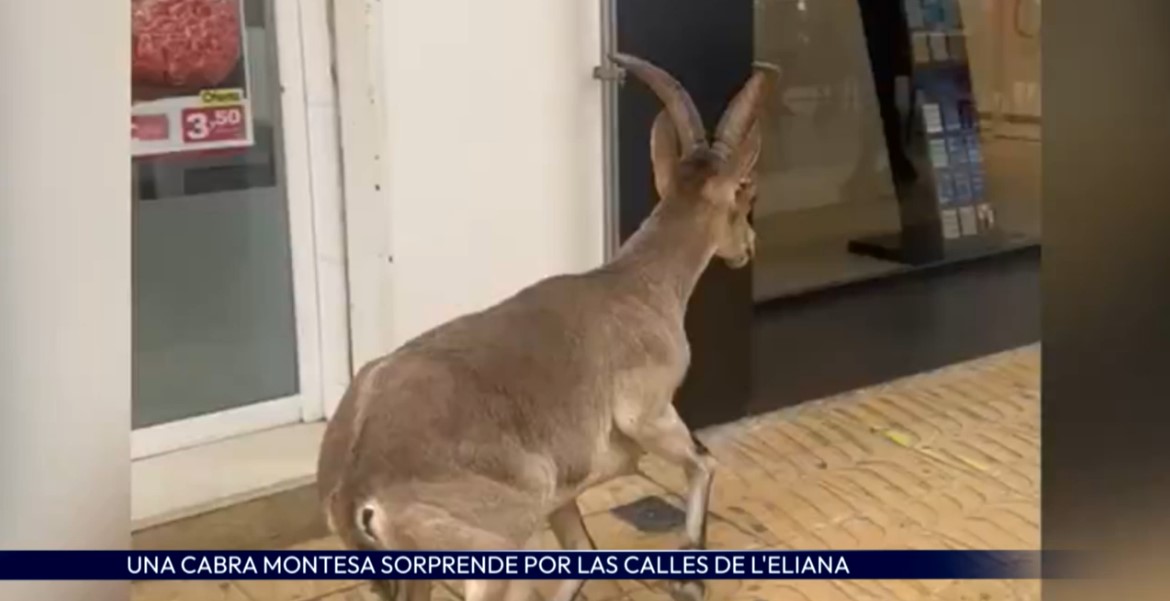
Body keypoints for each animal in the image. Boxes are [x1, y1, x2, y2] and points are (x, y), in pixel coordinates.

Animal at [317, 52, 779, 601]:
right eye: (744, 198)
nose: (748, 247)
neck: (641, 284)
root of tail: (358, 490)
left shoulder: (563, 493)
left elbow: (580, 555)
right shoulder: (647, 410)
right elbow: (702, 462)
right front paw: (690, 576)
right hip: (492, 545)